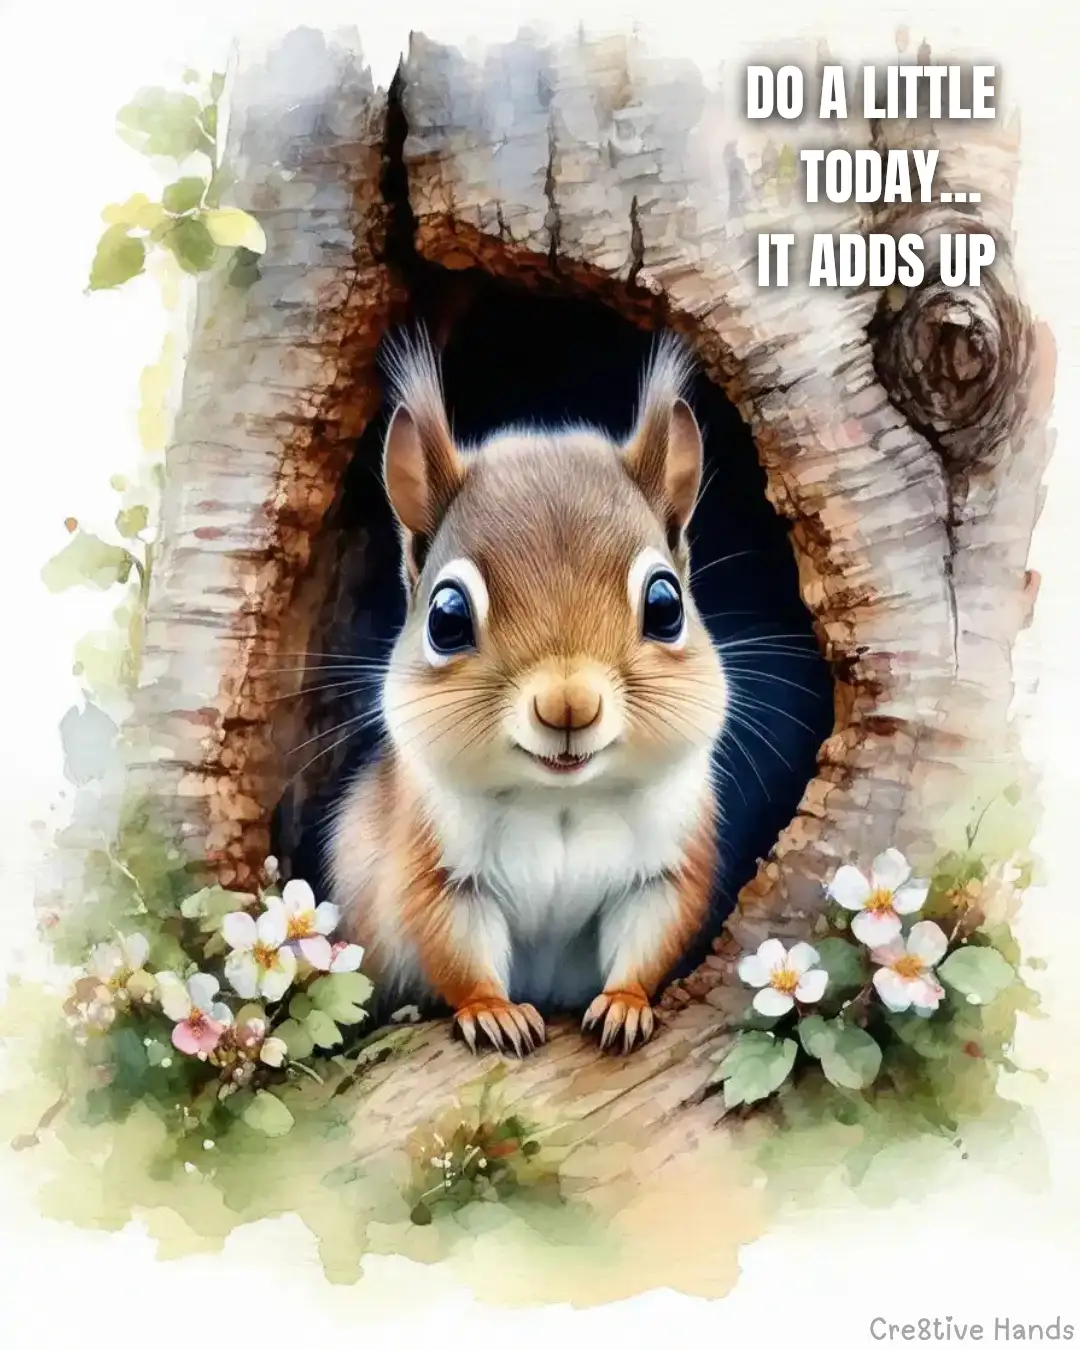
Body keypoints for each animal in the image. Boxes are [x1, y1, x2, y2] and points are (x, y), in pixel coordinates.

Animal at [327, 329, 728, 1056]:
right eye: (446, 618)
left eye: (666, 604)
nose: (568, 705)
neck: (560, 800)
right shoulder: (437, 871)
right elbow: (457, 950)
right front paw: (493, 1013)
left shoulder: (664, 867)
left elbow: (649, 939)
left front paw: (624, 1006)